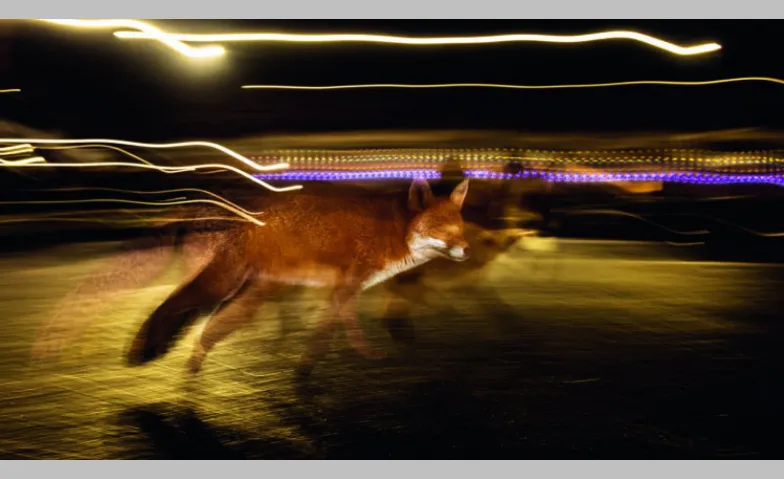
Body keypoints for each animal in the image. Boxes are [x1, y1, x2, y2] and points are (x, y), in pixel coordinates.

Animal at [125, 177, 472, 376]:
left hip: (249, 294)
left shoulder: (338, 291)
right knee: (172, 306)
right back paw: (142, 350)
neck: (393, 231)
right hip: (222, 284)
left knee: (207, 330)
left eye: (461, 229)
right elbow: (340, 332)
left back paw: (191, 364)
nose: (468, 250)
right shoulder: (345, 289)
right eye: (443, 231)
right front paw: (361, 356)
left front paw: (305, 367)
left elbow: (322, 333)